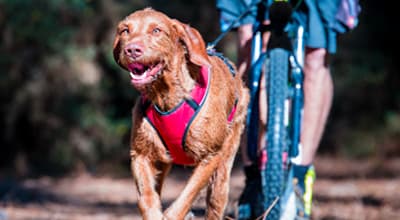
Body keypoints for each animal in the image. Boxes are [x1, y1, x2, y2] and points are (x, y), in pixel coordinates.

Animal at [112, 7, 248, 219]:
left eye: (157, 30)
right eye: (125, 30)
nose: (132, 50)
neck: (167, 95)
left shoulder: (211, 156)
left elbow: (187, 196)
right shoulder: (141, 154)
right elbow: (147, 198)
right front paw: (154, 213)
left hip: (225, 165)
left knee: (215, 201)